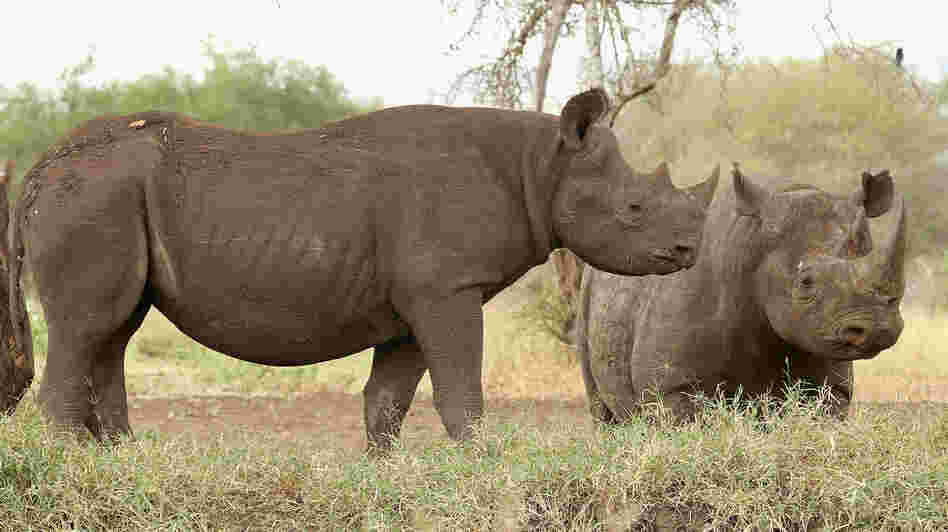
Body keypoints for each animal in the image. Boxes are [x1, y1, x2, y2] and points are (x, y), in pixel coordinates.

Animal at [1, 88, 720, 450]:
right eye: (634, 208)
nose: (689, 252)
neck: (540, 166)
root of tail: (36, 171)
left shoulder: (418, 296)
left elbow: (388, 401)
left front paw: (384, 473)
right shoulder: (447, 287)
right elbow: (461, 395)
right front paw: (486, 465)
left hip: (108, 198)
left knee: (111, 331)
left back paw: (123, 463)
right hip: (92, 197)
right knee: (88, 327)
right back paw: (77, 468)